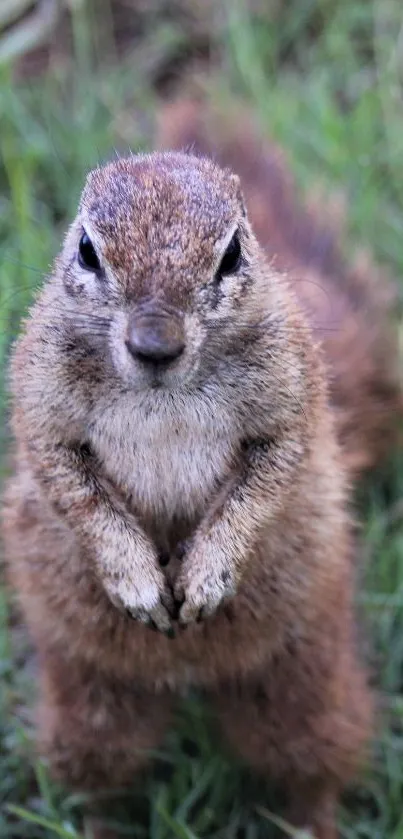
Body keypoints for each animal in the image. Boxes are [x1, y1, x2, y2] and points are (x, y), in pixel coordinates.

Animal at [2, 100, 400, 839]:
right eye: (87, 250)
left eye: (233, 252)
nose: (154, 344)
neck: (163, 393)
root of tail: (187, 673)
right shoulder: (41, 403)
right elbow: (71, 486)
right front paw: (134, 577)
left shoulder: (290, 397)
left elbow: (268, 478)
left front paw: (209, 571)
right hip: (89, 702)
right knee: (101, 776)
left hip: (302, 677)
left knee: (313, 763)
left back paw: (314, 822)